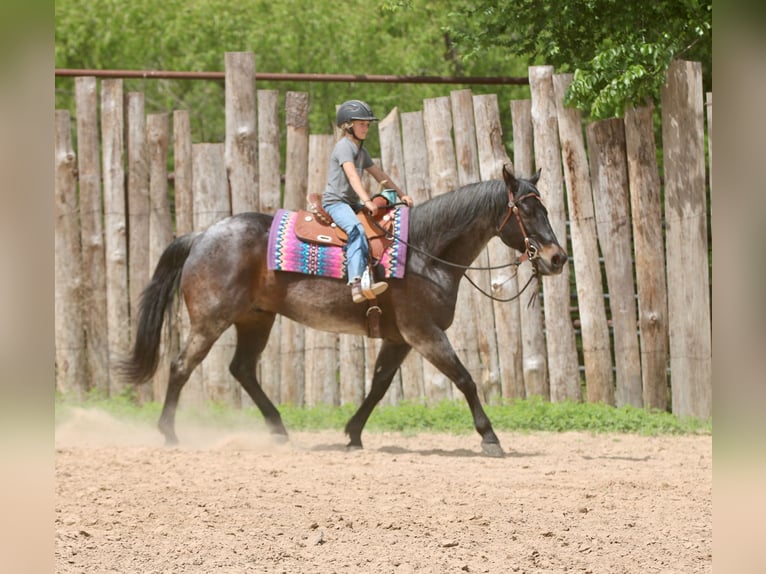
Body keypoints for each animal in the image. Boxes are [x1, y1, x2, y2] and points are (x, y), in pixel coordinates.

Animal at [120, 165, 567, 456]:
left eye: (544, 208)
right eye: (526, 211)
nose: (557, 258)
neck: (422, 252)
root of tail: (201, 236)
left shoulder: (399, 338)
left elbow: (379, 385)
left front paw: (353, 434)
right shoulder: (423, 333)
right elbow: (464, 379)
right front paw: (489, 437)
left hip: (256, 318)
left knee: (242, 369)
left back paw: (278, 429)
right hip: (211, 320)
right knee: (181, 366)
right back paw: (169, 433)